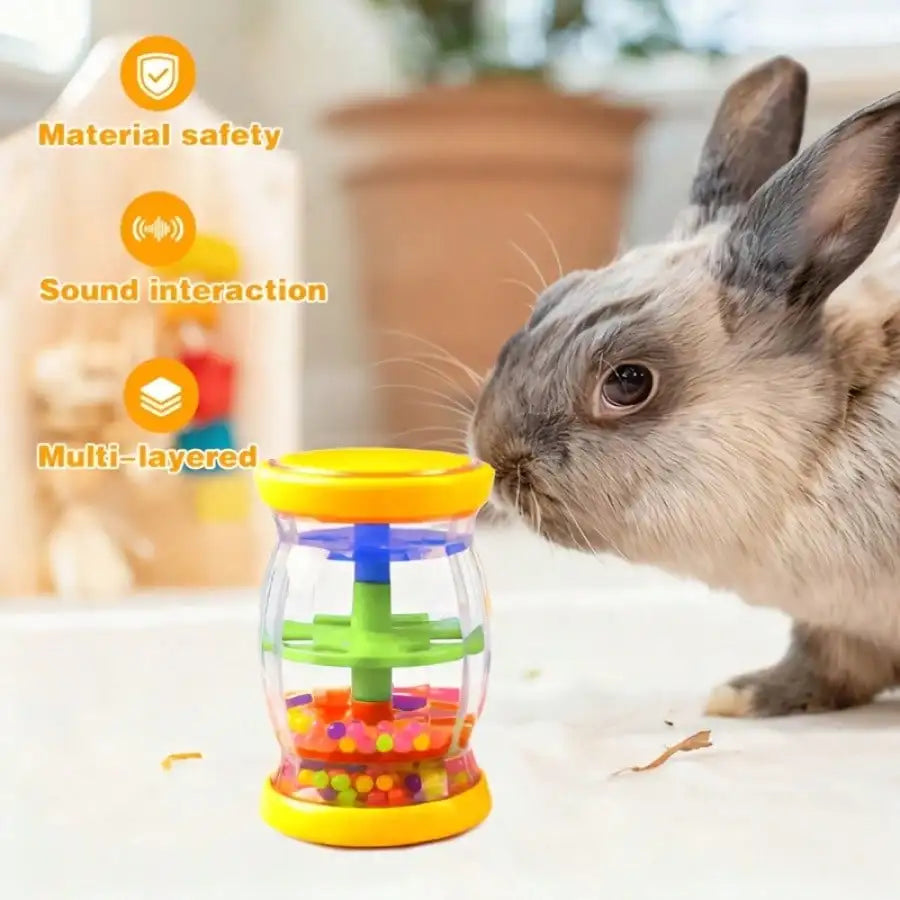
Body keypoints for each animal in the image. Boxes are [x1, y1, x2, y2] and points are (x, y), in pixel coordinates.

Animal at [469, 55, 900, 718]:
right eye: (551, 298)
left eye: (628, 383)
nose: (491, 454)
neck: (831, 430)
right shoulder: (841, 626)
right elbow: (827, 668)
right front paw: (742, 695)